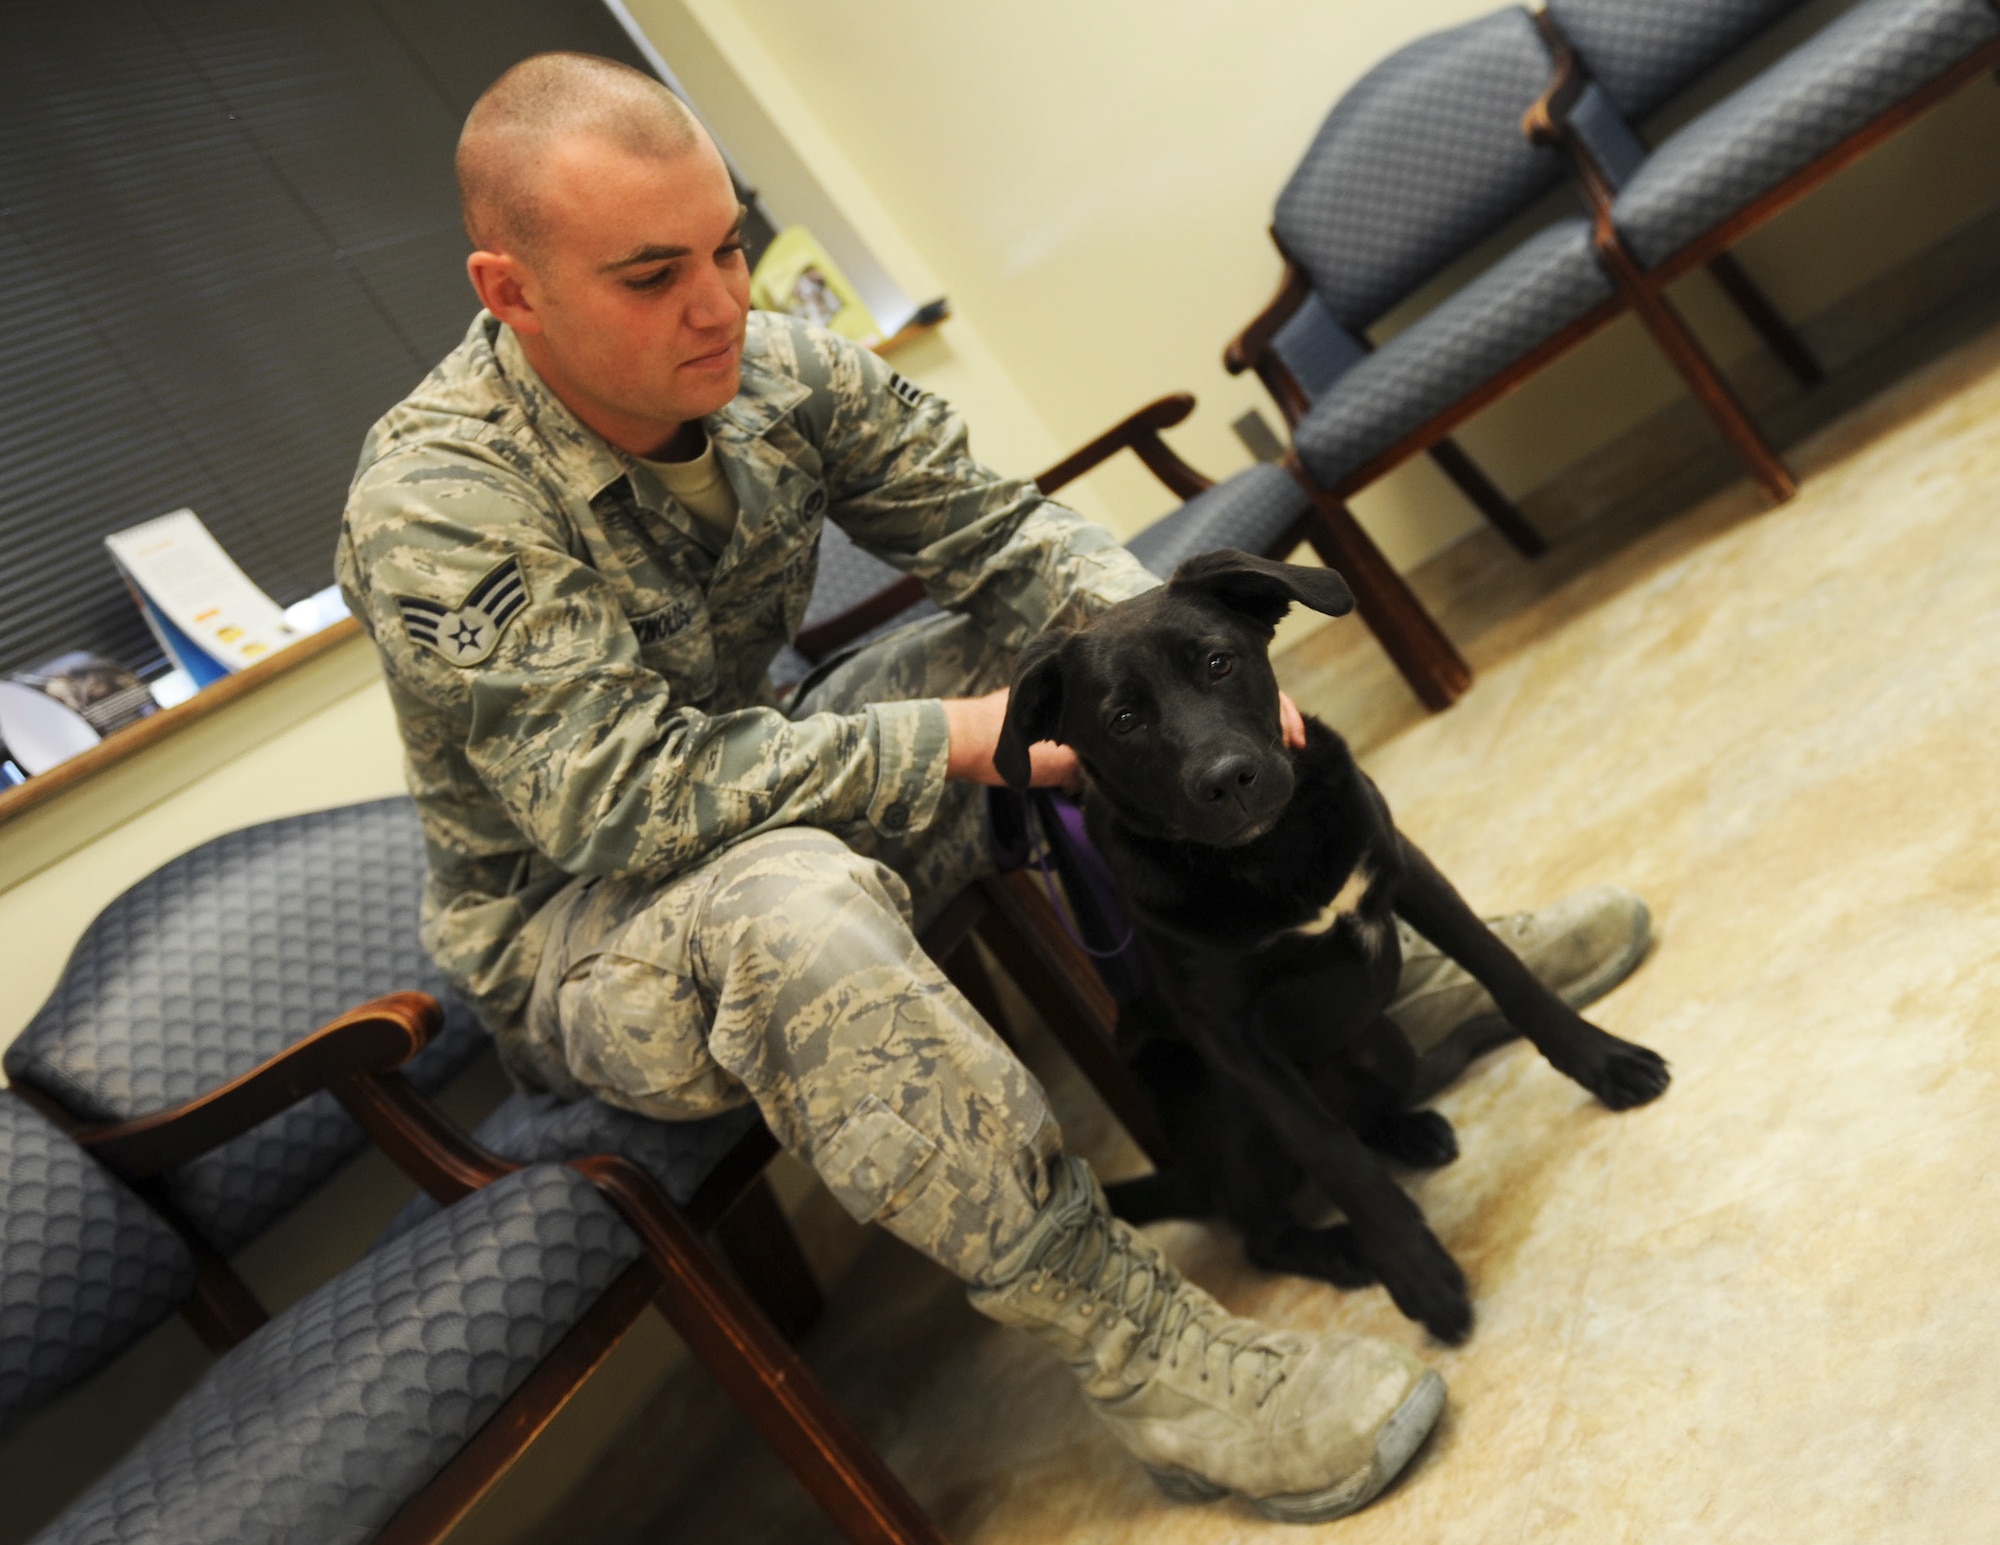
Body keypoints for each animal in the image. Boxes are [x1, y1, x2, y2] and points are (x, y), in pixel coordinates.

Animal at [1000, 552, 1672, 1336]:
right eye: (1124, 720)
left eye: (1219, 663)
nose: (1228, 779)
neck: (1268, 850)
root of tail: (1191, 1178)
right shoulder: (1228, 1033)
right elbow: (1332, 1153)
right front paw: (1414, 1270)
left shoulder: (1408, 871)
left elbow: (1511, 976)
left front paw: (1607, 1062)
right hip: (1226, 1112)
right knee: (1265, 1232)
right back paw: (1343, 1248)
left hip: (1385, 1044)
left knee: (1362, 1123)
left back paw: (1411, 1131)